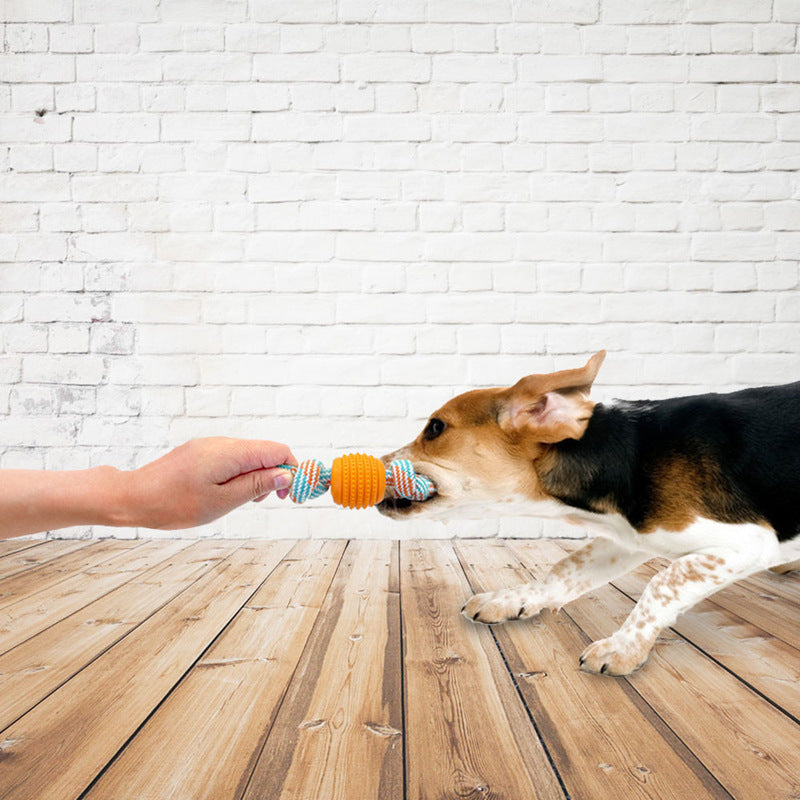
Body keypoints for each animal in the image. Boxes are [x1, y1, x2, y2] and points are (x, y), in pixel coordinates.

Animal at [378, 354, 800, 672]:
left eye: (435, 428)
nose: (373, 462)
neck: (631, 456)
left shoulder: (749, 542)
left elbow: (662, 582)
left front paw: (622, 648)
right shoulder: (628, 537)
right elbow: (565, 568)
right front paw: (509, 599)